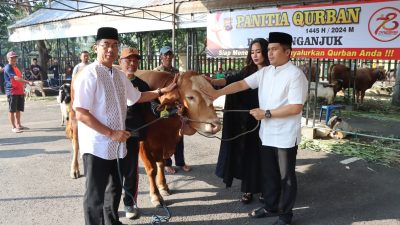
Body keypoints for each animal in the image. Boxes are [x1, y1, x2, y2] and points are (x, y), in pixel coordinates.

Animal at [136, 70, 220, 207]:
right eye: (190, 97)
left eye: (211, 94)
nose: (216, 125)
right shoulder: (143, 144)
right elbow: (152, 170)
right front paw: (155, 195)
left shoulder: (160, 143)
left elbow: (160, 164)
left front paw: (163, 186)